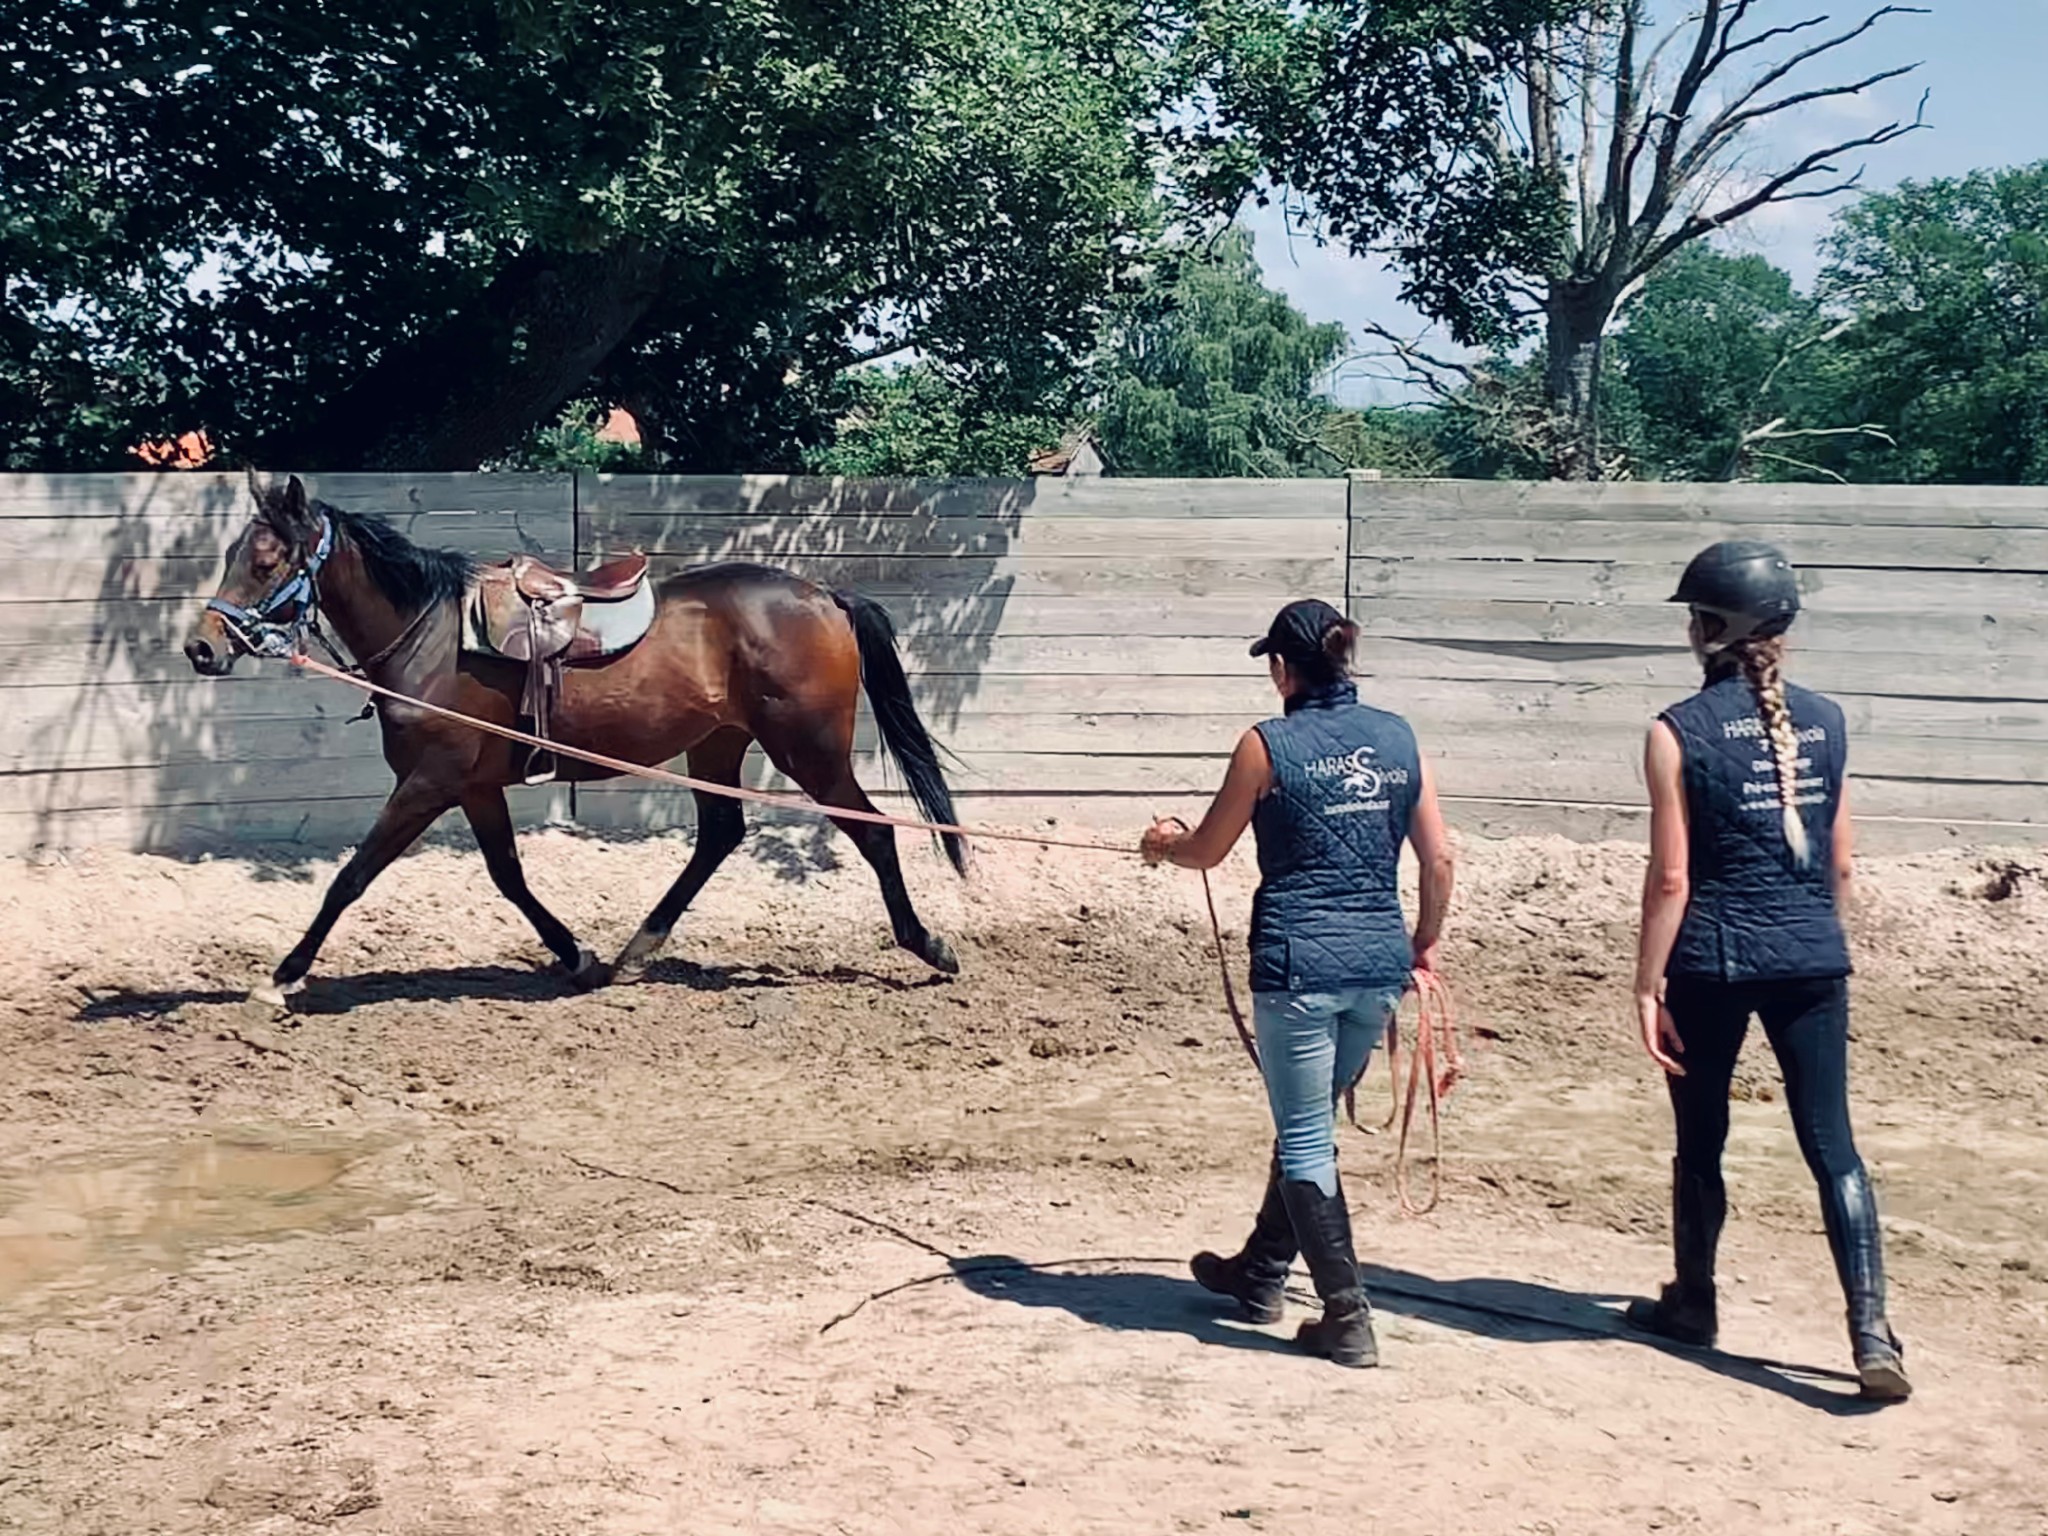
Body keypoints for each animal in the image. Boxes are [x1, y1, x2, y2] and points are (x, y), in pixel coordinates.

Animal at [183, 473, 967, 1001]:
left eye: (266, 562)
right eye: (231, 556)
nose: (201, 647)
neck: (431, 637)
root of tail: (823, 596)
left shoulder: (429, 783)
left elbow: (351, 877)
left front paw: (283, 976)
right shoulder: (474, 787)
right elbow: (509, 876)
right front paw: (576, 956)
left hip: (810, 751)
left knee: (873, 832)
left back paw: (928, 945)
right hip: (718, 742)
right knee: (720, 835)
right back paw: (633, 953)